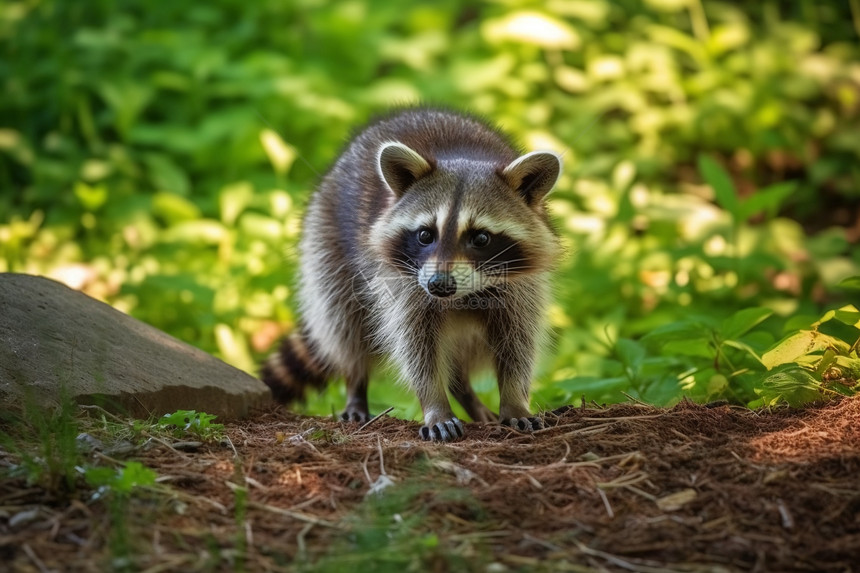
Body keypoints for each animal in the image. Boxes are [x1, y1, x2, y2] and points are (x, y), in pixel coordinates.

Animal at [258, 106, 560, 442]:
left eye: (481, 238)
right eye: (426, 235)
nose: (439, 284)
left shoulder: (520, 285)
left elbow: (517, 340)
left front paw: (514, 398)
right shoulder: (402, 282)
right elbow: (416, 347)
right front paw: (435, 405)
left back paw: (464, 392)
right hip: (325, 243)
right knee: (345, 324)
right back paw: (356, 383)